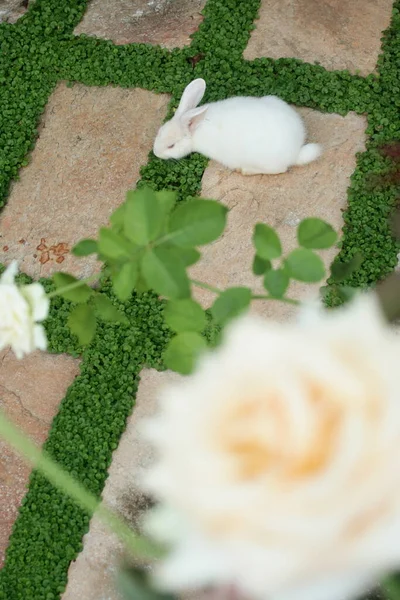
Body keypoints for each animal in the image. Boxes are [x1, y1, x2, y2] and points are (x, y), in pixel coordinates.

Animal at [153, 78, 322, 175]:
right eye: (159, 131)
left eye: (171, 146)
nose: (155, 153)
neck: (196, 130)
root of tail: (296, 151)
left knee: (280, 170)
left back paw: (244, 170)